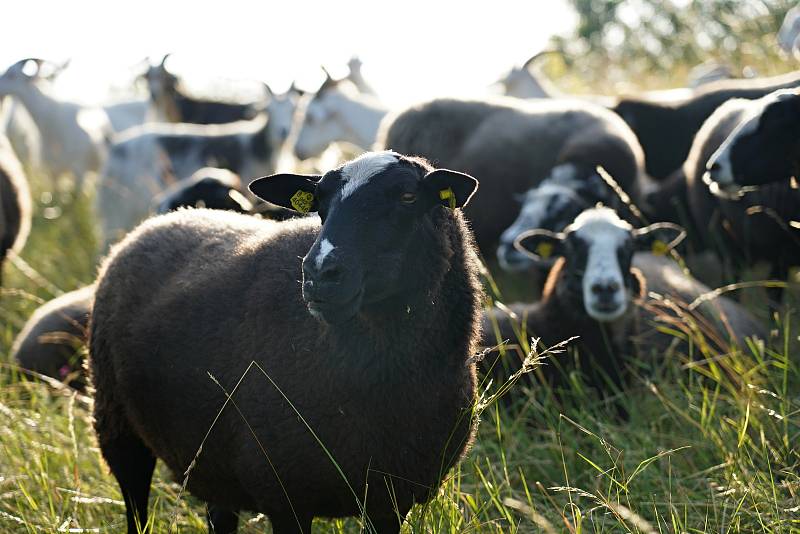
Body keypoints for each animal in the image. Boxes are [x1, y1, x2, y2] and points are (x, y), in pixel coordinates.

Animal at [90, 151, 484, 534]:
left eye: (408, 197)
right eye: (320, 203)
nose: (319, 273)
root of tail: (161, 220)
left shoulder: (391, 497)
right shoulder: (285, 495)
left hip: (212, 456)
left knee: (220, 514)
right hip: (116, 424)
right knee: (135, 503)